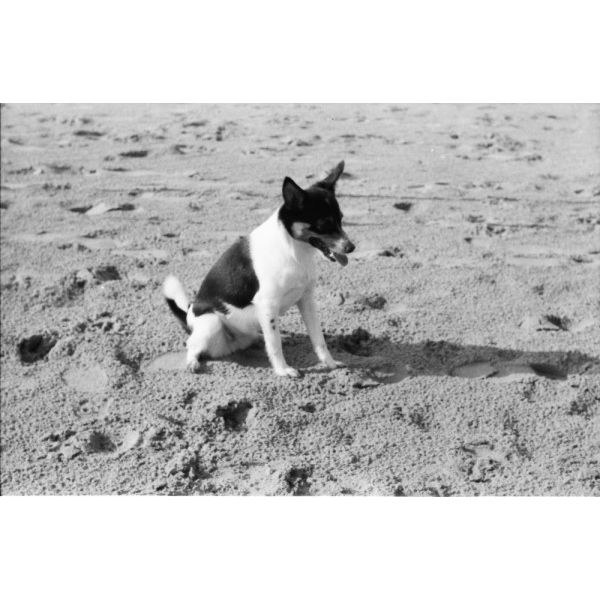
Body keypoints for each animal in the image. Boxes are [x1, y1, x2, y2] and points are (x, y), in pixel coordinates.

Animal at [163, 160, 355, 377]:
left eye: (341, 219)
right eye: (324, 225)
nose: (351, 248)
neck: (292, 249)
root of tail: (189, 314)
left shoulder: (306, 300)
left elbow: (318, 339)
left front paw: (329, 363)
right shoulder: (268, 305)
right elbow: (275, 345)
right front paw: (283, 371)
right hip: (212, 323)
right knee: (191, 344)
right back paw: (192, 362)